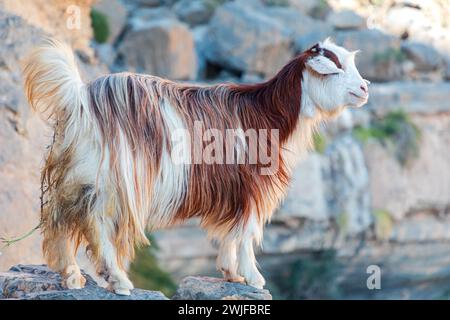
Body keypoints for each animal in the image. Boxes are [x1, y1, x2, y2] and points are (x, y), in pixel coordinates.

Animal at [22, 37, 370, 296]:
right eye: (334, 70)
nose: (365, 88)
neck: (265, 115)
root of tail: (79, 99)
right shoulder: (252, 187)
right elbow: (247, 233)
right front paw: (253, 277)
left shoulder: (235, 192)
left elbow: (232, 232)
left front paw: (232, 274)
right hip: (111, 182)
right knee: (96, 224)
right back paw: (118, 280)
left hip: (76, 177)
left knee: (62, 219)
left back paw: (71, 275)